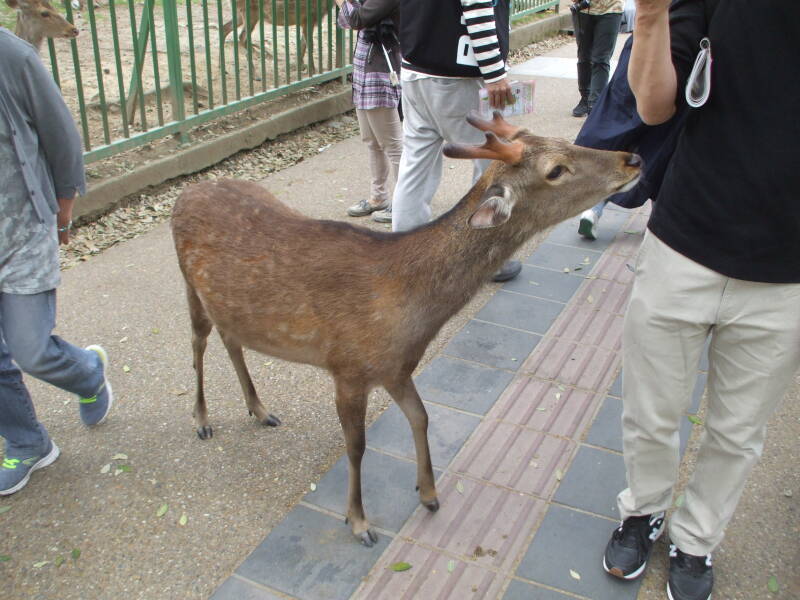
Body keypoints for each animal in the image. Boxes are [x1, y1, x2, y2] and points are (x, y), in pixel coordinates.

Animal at [172, 110, 640, 548]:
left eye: (566, 142)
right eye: (556, 169)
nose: (632, 158)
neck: (409, 309)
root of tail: (185, 193)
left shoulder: (397, 368)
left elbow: (422, 415)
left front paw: (429, 493)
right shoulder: (347, 368)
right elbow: (357, 446)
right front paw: (359, 521)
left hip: (229, 305)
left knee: (232, 339)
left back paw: (260, 410)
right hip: (190, 287)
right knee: (197, 343)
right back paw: (201, 419)